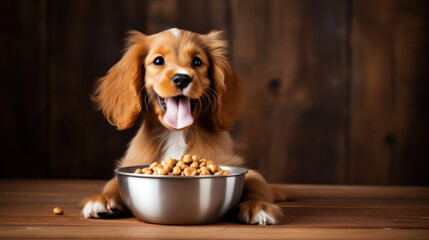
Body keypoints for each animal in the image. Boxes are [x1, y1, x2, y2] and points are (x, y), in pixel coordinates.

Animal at [82, 28, 286, 225]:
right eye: (158, 60)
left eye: (197, 61)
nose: (182, 78)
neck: (176, 135)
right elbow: (113, 183)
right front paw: (102, 199)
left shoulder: (240, 168)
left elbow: (257, 184)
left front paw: (258, 206)